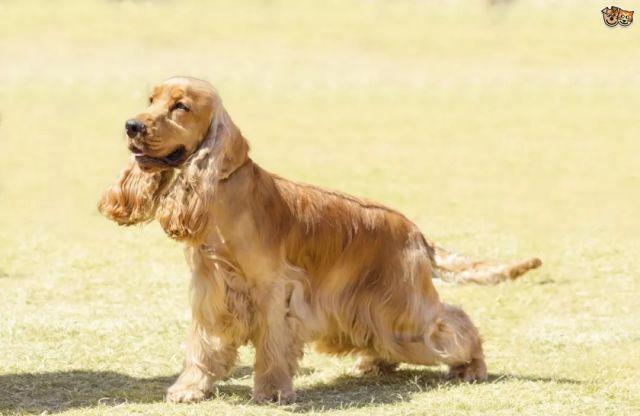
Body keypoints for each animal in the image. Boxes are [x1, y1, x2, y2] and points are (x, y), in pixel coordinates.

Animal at [99, 77, 540, 404]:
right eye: (151, 99)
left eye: (180, 106)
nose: (132, 126)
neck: (223, 193)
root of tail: (416, 232)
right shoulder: (211, 289)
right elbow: (203, 346)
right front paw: (190, 389)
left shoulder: (273, 289)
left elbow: (272, 346)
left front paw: (272, 391)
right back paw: (374, 363)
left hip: (405, 306)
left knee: (455, 323)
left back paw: (472, 366)